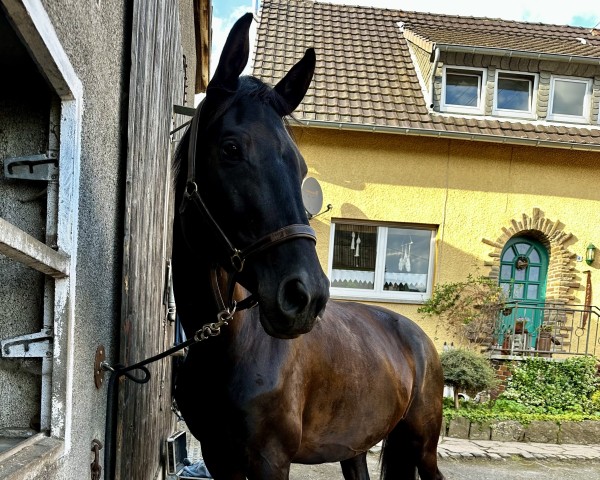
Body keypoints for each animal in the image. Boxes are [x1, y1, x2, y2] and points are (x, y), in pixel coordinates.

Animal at [173, 11, 446, 480]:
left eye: (300, 166)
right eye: (231, 149)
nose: (306, 296)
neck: (229, 343)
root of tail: (419, 338)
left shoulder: (270, 460)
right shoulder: (217, 456)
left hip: (422, 447)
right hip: (355, 448)